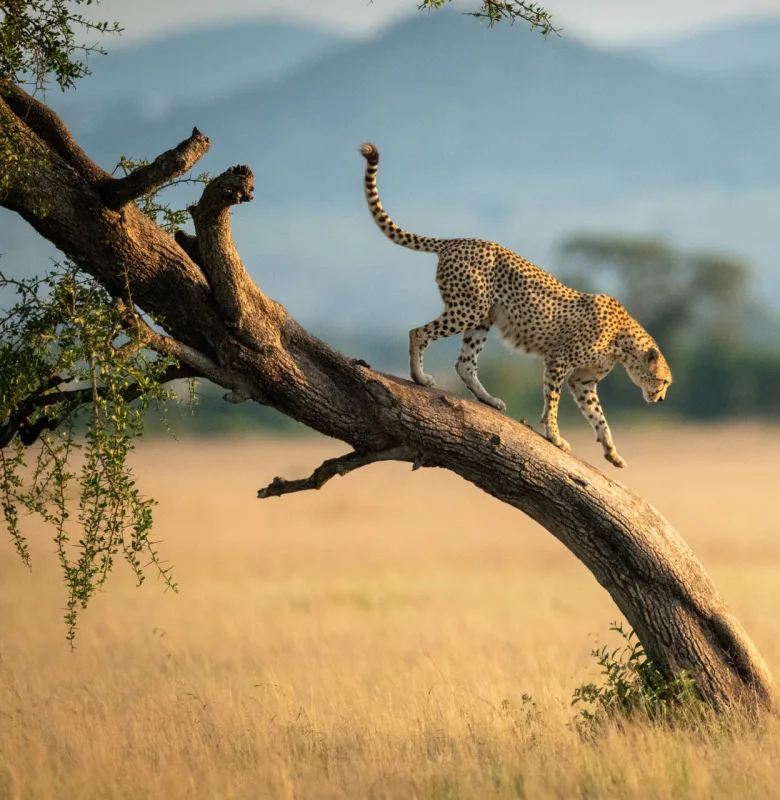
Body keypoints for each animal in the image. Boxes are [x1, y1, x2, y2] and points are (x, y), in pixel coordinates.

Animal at [358, 142, 672, 468]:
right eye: (663, 381)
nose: (660, 398)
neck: (623, 341)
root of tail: (457, 240)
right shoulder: (559, 360)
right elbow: (553, 402)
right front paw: (554, 436)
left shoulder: (583, 380)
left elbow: (598, 416)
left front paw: (611, 451)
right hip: (467, 309)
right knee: (418, 333)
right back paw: (419, 377)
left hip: (482, 318)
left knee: (465, 363)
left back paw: (488, 400)